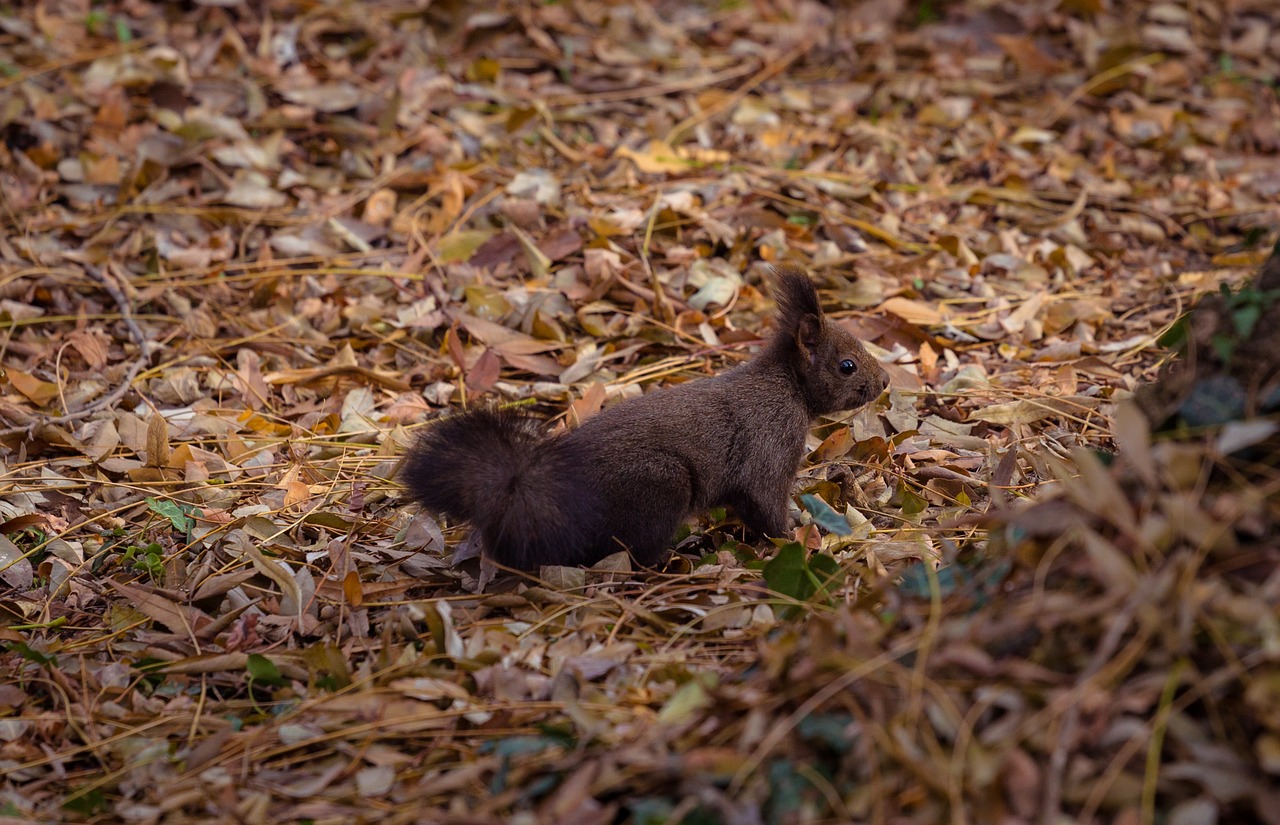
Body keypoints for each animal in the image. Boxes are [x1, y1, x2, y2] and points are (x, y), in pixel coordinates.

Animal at [399, 267, 890, 570]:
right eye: (847, 365)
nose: (885, 380)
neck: (787, 388)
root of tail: (545, 495)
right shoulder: (768, 448)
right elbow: (765, 502)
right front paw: (795, 534)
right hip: (659, 485)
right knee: (633, 550)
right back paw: (678, 556)